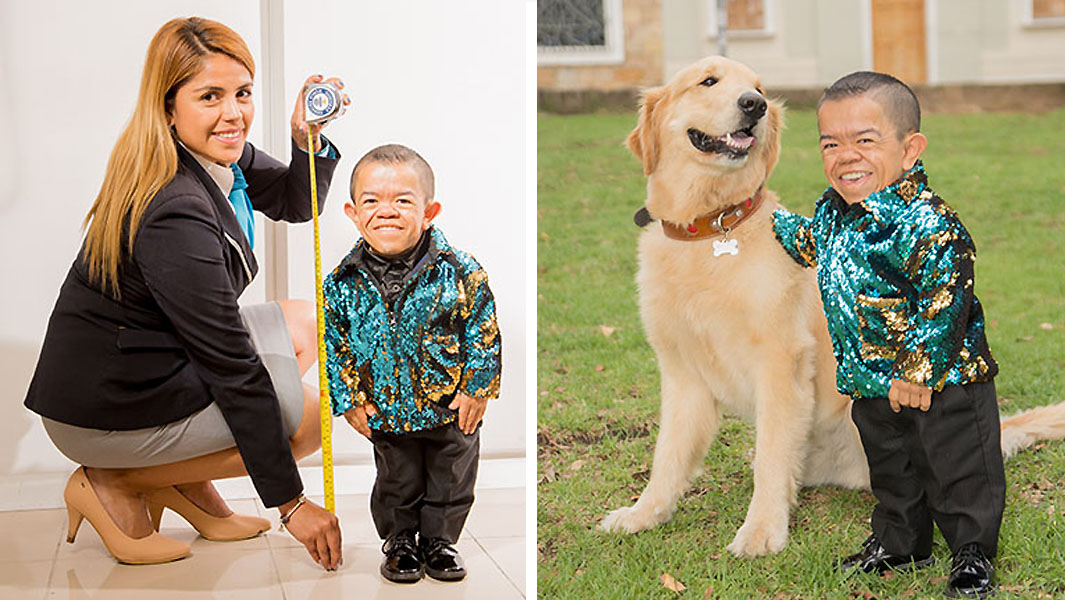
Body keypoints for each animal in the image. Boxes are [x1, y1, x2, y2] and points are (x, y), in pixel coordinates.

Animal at [600, 56, 1065, 558]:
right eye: (708, 81)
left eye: (759, 88)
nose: (754, 105)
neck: (713, 227)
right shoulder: (682, 373)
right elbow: (668, 455)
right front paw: (643, 514)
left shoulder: (779, 362)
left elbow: (771, 457)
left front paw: (761, 530)